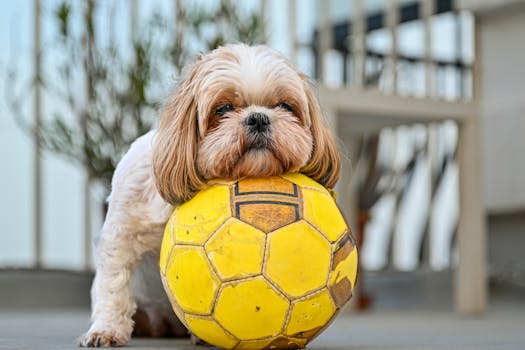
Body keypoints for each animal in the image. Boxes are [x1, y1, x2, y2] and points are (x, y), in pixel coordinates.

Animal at [78, 43, 340, 348]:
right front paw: (106, 329)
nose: (258, 118)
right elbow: (113, 284)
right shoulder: (121, 230)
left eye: (285, 106)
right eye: (223, 108)